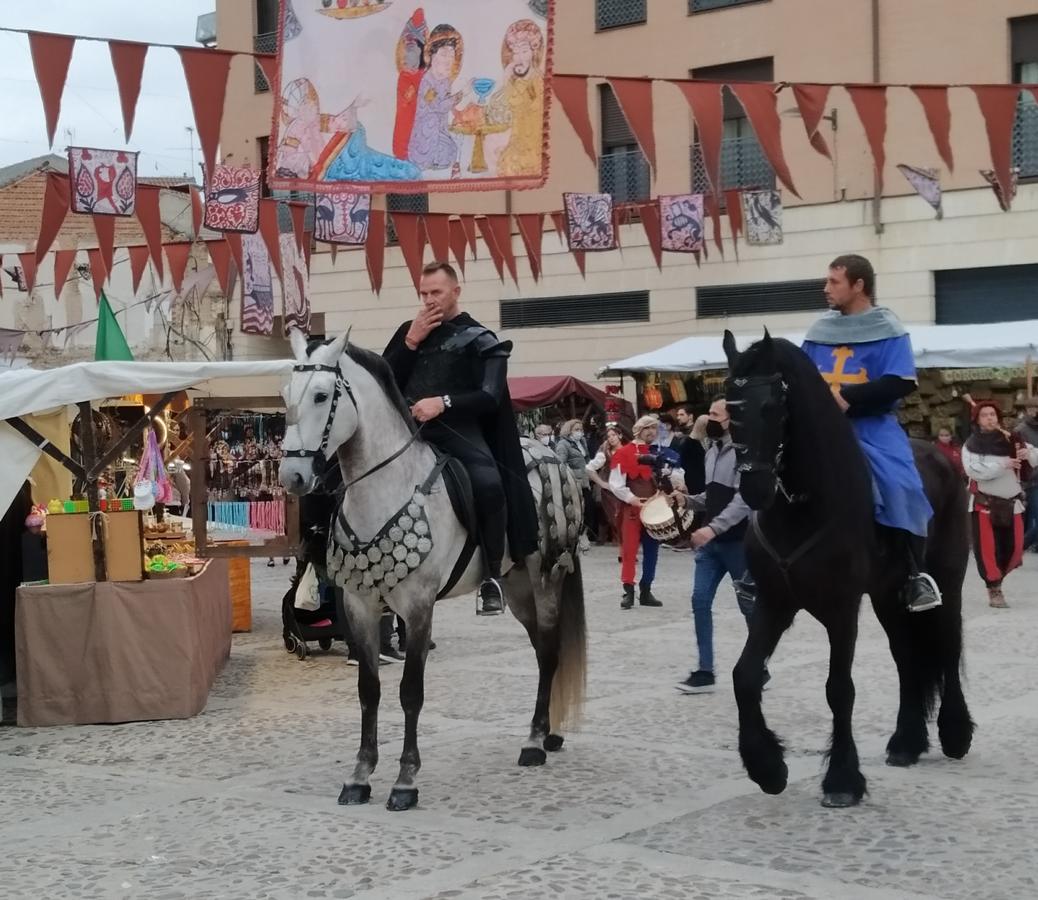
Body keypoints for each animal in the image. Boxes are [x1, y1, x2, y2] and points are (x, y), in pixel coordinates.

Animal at [278, 330, 585, 809]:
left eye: (322, 395)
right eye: (285, 393)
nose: (291, 476)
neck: (385, 488)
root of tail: (550, 454)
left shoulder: (419, 607)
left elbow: (410, 692)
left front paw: (405, 781)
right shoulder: (360, 606)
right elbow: (369, 690)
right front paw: (360, 776)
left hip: (546, 576)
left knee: (550, 650)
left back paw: (535, 743)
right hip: (517, 585)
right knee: (539, 648)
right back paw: (547, 732)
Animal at [722, 332, 971, 809]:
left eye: (772, 404)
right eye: (729, 404)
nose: (754, 489)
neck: (803, 505)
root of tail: (944, 457)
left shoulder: (841, 610)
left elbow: (839, 688)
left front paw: (842, 779)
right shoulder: (774, 603)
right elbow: (744, 676)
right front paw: (767, 768)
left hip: (947, 581)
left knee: (948, 648)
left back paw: (955, 733)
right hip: (888, 595)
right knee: (905, 657)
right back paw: (906, 742)